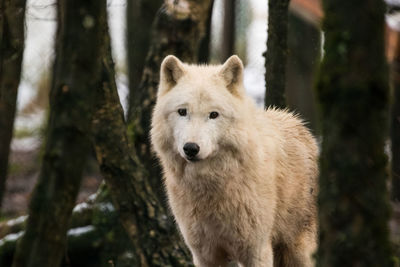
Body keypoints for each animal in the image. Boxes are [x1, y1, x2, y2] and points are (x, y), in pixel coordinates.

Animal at [151, 55, 318, 266]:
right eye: (182, 112)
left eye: (213, 114)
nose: (191, 148)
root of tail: (298, 122)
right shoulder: (205, 255)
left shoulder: (257, 250)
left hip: (299, 250)